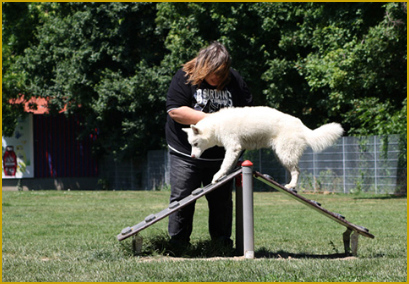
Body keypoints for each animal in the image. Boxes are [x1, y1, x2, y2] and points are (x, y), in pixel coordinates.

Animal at [183, 106, 342, 189]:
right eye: (190, 145)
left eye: (195, 144)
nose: (192, 156)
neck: (215, 126)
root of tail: (301, 126)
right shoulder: (236, 149)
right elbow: (230, 164)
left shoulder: (233, 147)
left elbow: (223, 165)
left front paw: (217, 177)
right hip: (281, 155)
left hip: (285, 154)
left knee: (296, 171)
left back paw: (291, 185)